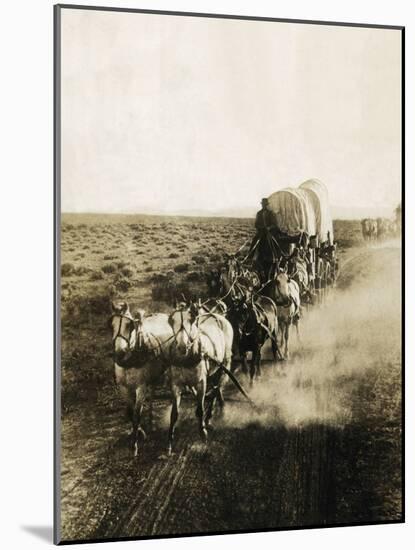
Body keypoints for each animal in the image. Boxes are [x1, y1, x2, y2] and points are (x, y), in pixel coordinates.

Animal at [109, 302, 173, 458]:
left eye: (129, 325)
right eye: (112, 325)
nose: (120, 353)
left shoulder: (140, 387)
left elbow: (137, 413)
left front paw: (135, 445)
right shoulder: (124, 388)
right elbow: (130, 411)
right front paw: (139, 431)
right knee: (152, 392)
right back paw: (150, 421)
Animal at [168, 304, 234, 454]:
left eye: (191, 320)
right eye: (171, 320)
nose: (181, 346)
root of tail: (216, 315)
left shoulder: (201, 383)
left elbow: (199, 409)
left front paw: (203, 433)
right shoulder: (176, 384)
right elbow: (174, 413)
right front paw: (170, 442)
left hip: (224, 364)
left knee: (217, 388)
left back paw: (210, 416)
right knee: (216, 388)